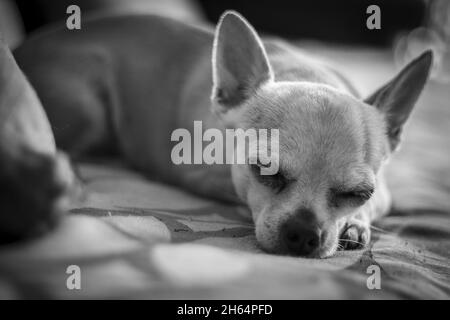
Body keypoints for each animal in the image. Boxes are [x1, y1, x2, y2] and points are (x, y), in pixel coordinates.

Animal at [1, 11, 432, 258]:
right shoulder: (196, 173)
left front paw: (355, 224)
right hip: (88, 108)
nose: (304, 232)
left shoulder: (385, 193)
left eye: (358, 193)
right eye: (264, 171)